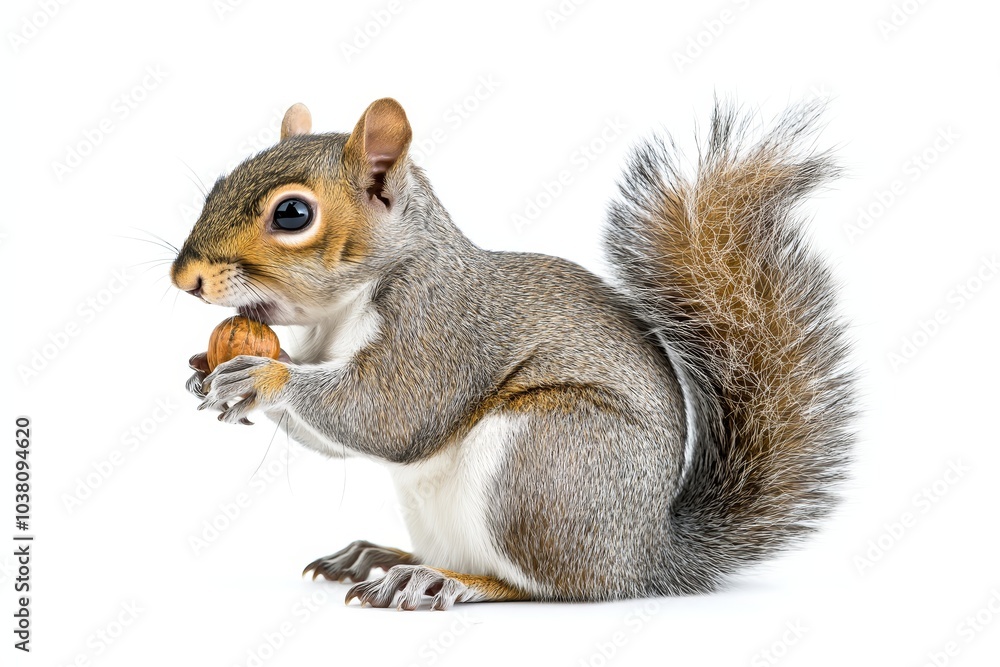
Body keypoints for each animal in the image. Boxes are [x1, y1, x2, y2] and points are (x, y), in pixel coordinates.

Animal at [171, 98, 855, 610]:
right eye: (216, 185)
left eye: (292, 213)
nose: (185, 279)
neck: (341, 314)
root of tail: (645, 557)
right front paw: (206, 375)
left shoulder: (438, 332)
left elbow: (389, 417)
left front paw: (263, 378)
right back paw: (383, 556)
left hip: (542, 463)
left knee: (547, 586)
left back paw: (442, 581)